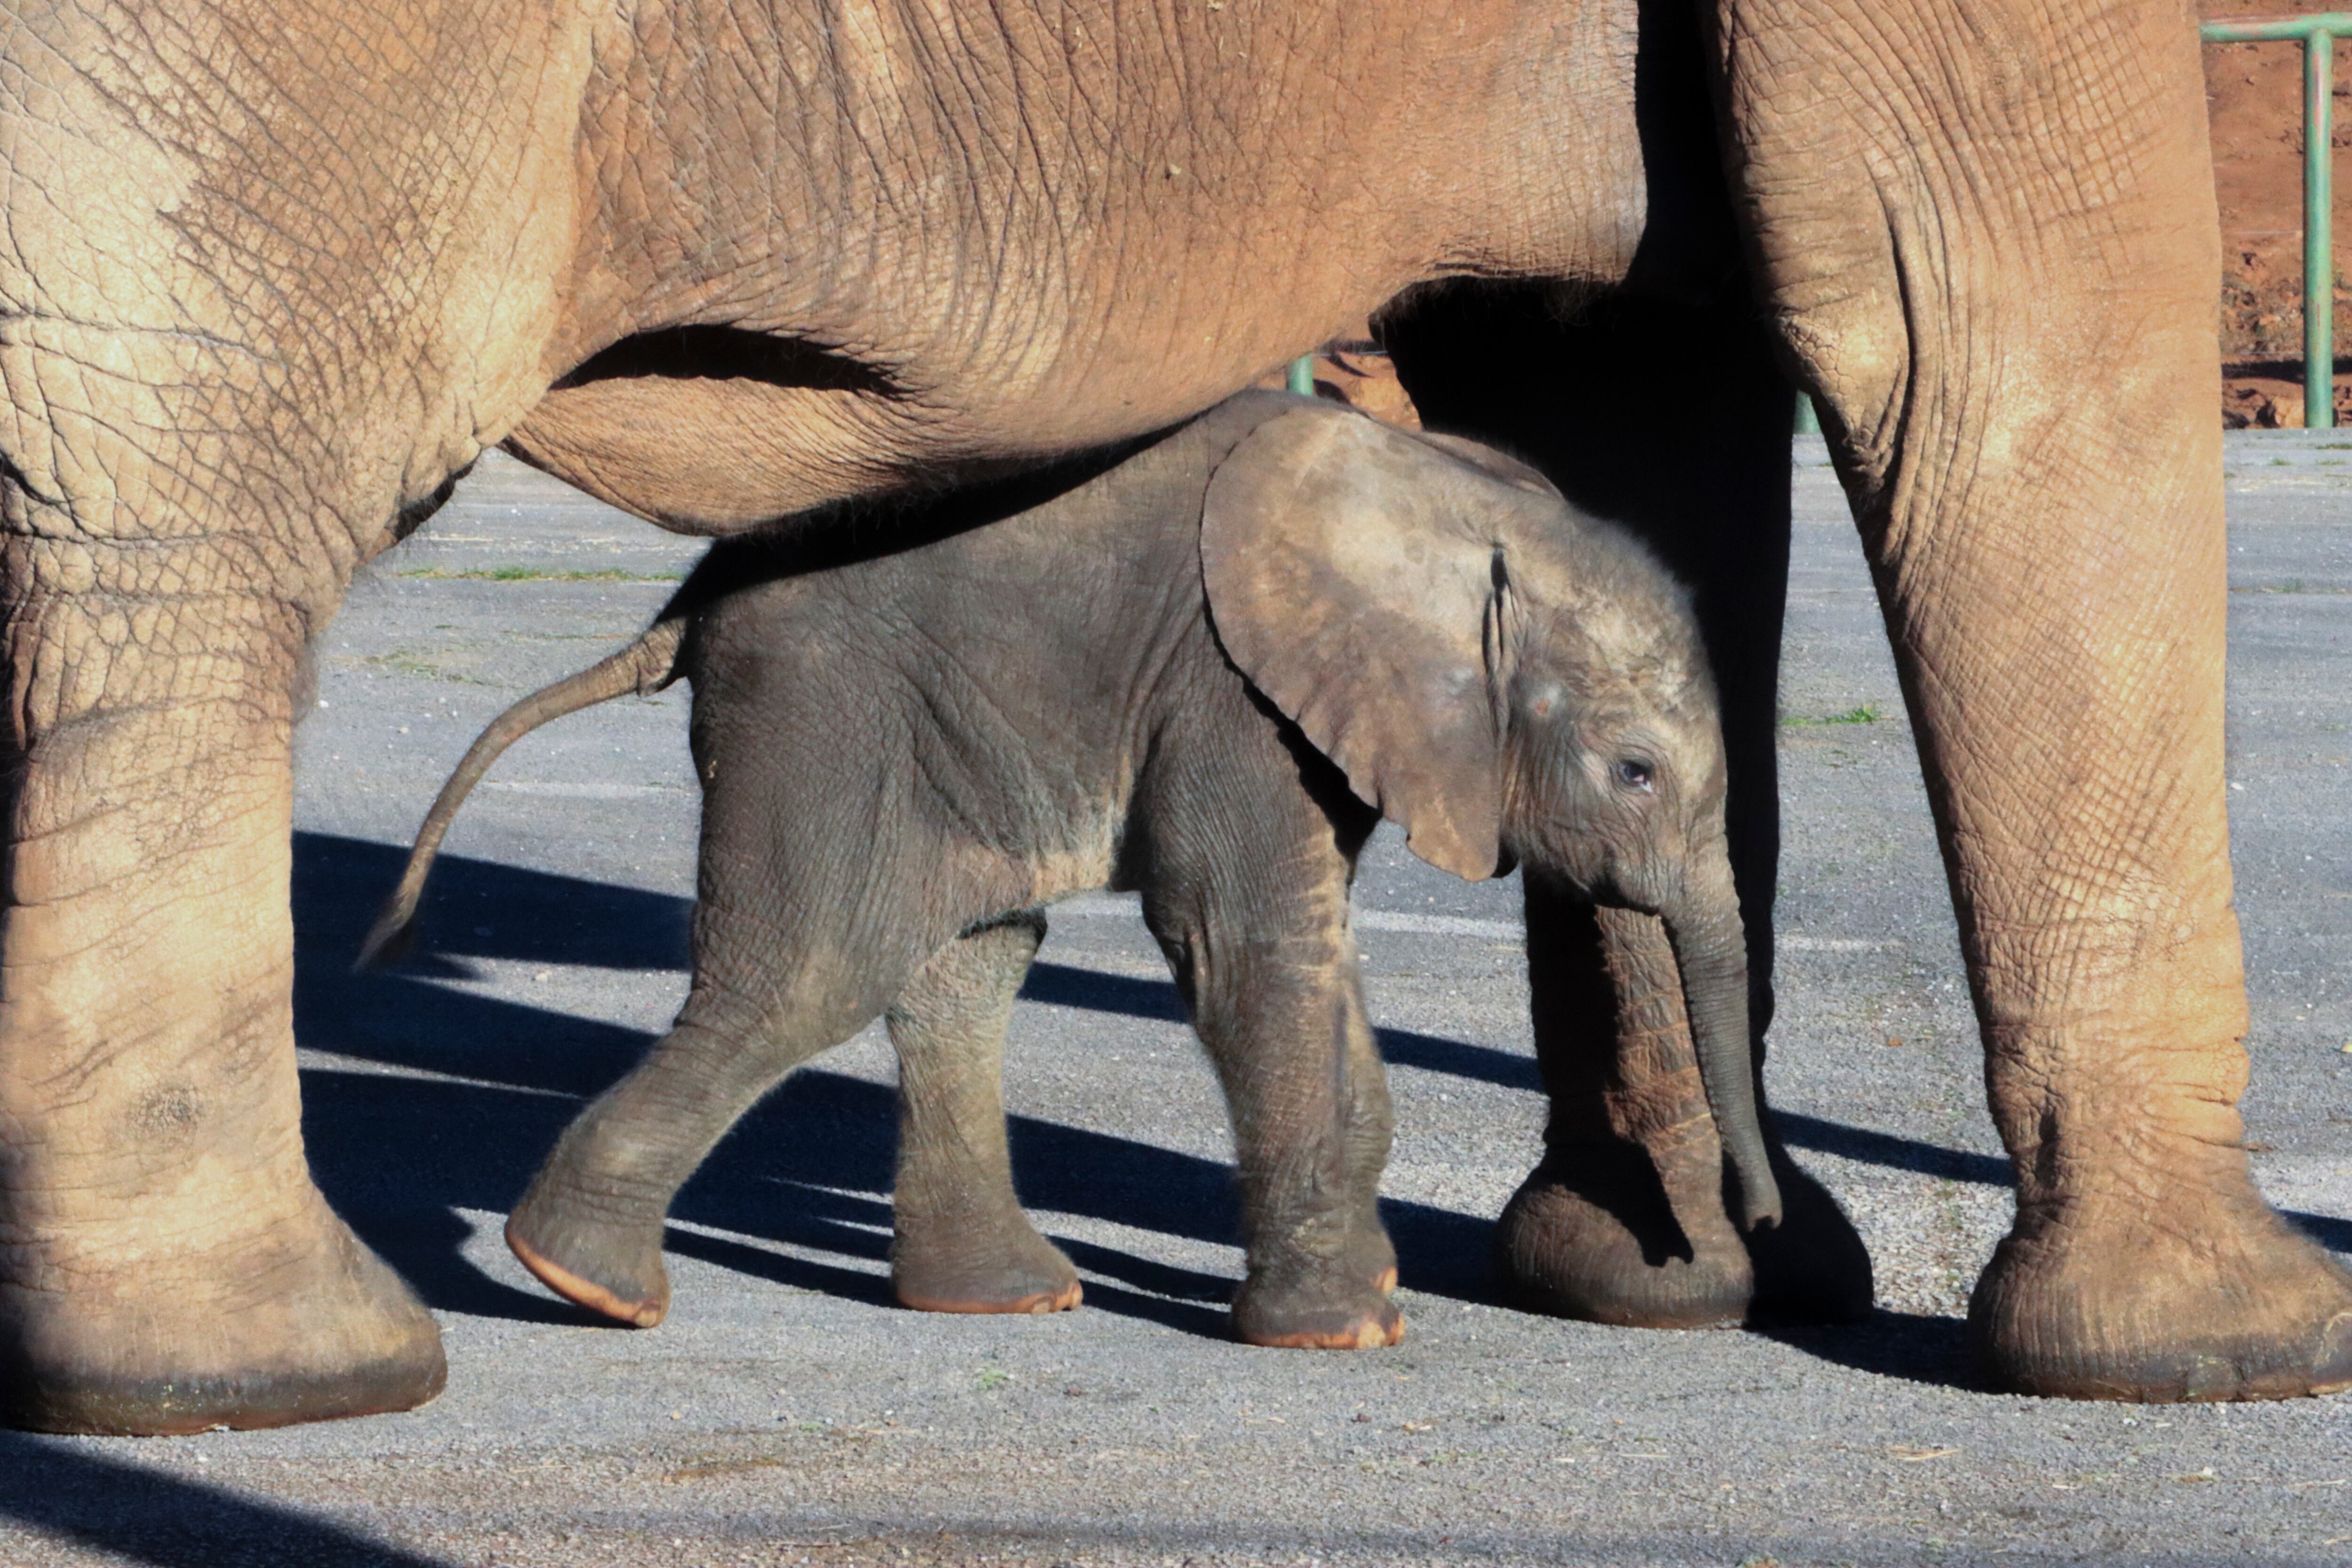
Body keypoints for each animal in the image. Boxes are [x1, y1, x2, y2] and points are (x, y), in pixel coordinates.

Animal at [358, 390, 1769, 1354]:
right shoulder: (1228, 686)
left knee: (969, 960)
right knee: (817, 968)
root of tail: (692, 594)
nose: (1745, 1228)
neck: (1461, 508)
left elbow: (1313, 947)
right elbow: (1248, 939)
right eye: (1636, 772)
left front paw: (1370, 1293)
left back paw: (1005, 1296)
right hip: (822, 703)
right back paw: (584, 1280)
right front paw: (1340, 1329)